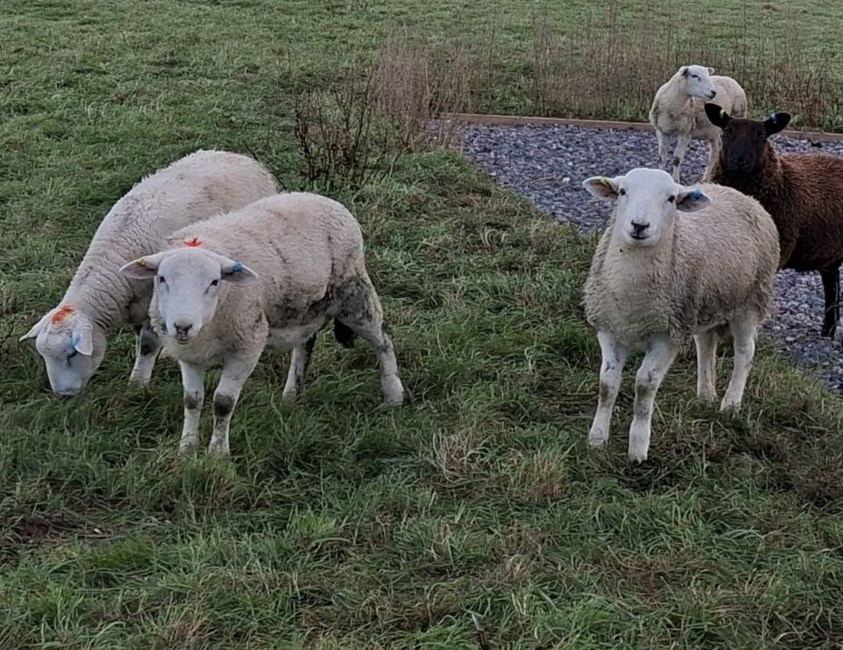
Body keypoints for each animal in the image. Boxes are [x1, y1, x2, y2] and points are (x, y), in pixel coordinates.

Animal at [19, 150, 278, 397]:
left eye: (72, 354)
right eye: (44, 356)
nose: (62, 395)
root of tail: (243, 158)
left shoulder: (150, 304)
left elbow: (147, 344)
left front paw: (137, 383)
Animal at [118, 192, 404, 456]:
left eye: (214, 281)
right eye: (161, 278)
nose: (183, 326)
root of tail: (324, 198)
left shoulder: (247, 348)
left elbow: (223, 402)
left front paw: (218, 453)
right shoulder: (190, 355)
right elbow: (192, 401)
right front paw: (187, 450)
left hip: (353, 293)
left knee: (383, 337)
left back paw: (393, 394)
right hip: (307, 308)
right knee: (305, 344)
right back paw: (291, 395)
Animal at [582, 168, 778, 463]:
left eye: (671, 198)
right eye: (623, 191)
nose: (639, 225)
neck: (632, 296)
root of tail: (737, 193)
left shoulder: (667, 336)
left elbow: (645, 384)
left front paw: (638, 448)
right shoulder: (610, 328)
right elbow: (607, 384)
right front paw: (597, 439)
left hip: (749, 300)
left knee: (745, 352)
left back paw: (730, 403)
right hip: (704, 305)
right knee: (706, 345)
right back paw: (705, 394)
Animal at [705, 104, 843, 339]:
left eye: (762, 135)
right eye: (727, 132)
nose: (739, 161)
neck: (780, 179)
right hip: (829, 253)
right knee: (831, 285)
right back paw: (827, 331)